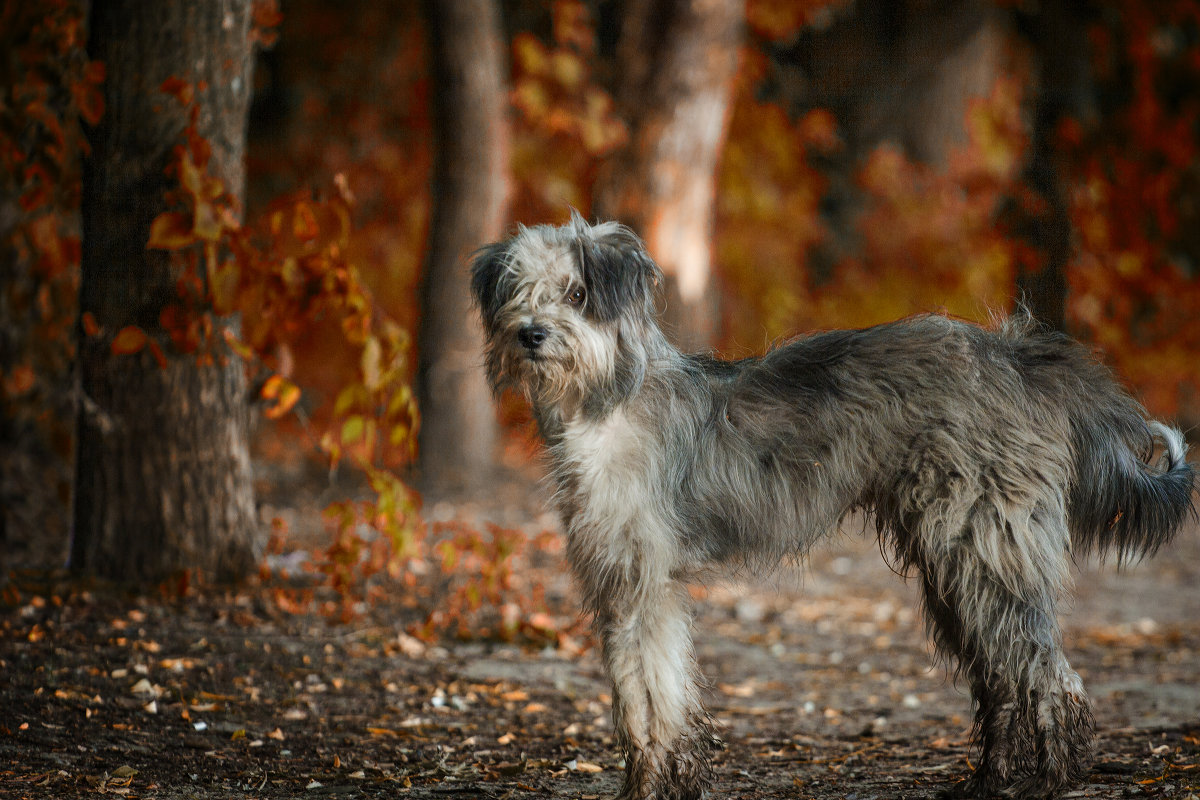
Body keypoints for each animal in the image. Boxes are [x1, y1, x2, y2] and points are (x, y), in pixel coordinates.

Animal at [465, 214, 1190, 800]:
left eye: (576, 293)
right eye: (519, 290)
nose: (530, 335)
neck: (607, 401)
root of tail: (1017, 355)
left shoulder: (645, 584)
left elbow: (650, 703)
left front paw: (651, 786)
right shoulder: (624, 588)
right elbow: (646, 696)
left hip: (986, 553)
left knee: (1048, 673)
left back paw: (1052, 779)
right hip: (954, 565)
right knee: (1002, 676)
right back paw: (990, 779)